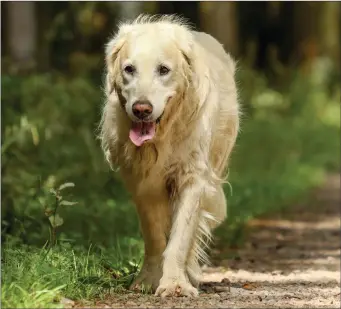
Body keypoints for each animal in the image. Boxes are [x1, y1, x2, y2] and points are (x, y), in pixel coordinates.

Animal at [99, 13, 239, 296]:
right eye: (129, 69)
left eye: (163, 70)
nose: (141, 109)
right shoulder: (141, 182)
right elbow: (154, 235)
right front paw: (149, 279)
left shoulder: (193, 178)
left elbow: (181, 237)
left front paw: (175, 283)